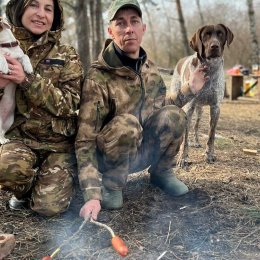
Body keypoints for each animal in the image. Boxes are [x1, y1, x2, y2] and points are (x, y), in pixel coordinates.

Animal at [170, 23, 235, 167]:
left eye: (220, 33)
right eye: (206, 34)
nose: (214, 46)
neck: (209, 69)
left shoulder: (215, 108)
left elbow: (211, 136)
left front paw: (209, 155)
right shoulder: (188, 108)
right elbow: (185, 138)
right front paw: (183, 158)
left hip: (199, 110)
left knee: (196, 126)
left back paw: (197, 142)